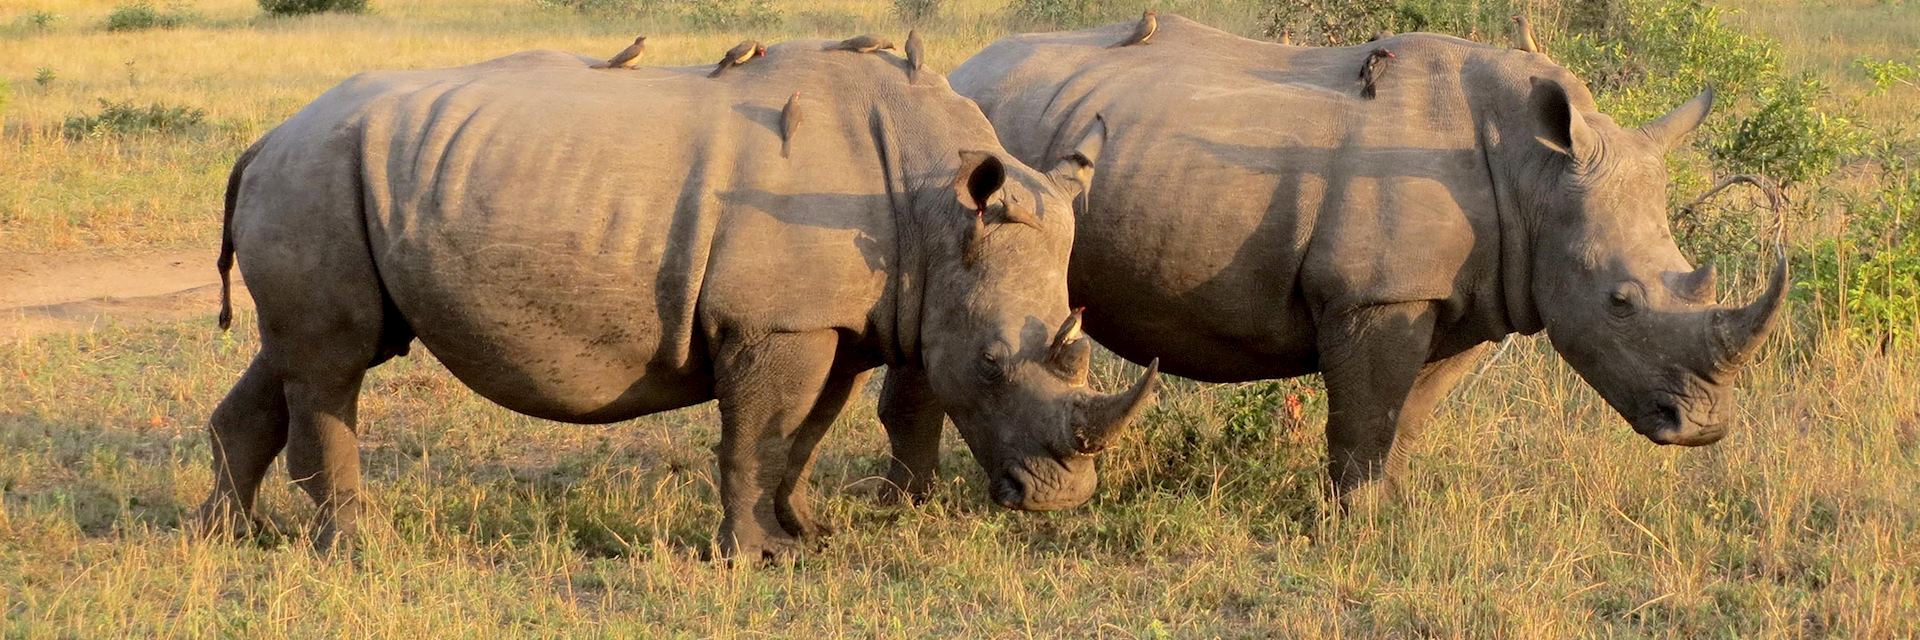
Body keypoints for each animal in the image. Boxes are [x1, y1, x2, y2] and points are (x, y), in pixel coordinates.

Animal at [198, 42, 1152, 557]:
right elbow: (758, 434)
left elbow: (799, 437)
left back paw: (228, 538)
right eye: (990, 365)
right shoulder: (776, 319)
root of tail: (263, 140)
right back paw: (358, 548)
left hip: (321, 177)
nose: (1062, 500)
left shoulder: (831, 320)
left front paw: (802, 532)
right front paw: (757, 557)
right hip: (316, 174)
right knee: (334, 364)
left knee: (295, 356)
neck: (934, 196)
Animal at [871, 16, 1781, 499]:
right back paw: (917, 505)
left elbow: (1407, 415)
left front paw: (1390, 509)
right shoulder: (1376, 293)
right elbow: (1367, 415)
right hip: (967, 157)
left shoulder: (1468, 296)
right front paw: (1354, 524)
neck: (1536, 169)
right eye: (1621, 301)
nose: (1703, 428)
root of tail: (966, 67)